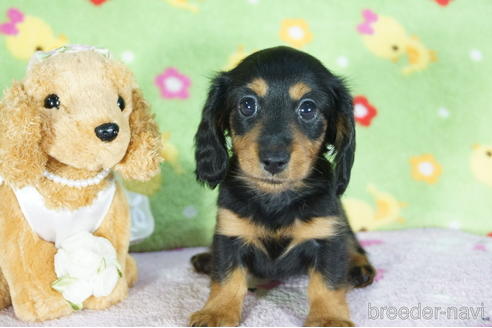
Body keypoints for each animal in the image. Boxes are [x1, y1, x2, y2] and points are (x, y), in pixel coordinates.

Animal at [190, 46, 374, 328]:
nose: (274, 160)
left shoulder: (327, 235)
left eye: (308, 108)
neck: (275, 198)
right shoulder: (230, 232)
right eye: (247, 105)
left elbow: (328, 283)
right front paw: (217, 312)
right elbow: (226, 277)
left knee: (353, 244)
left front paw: (328, 317)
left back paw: (358, 266)